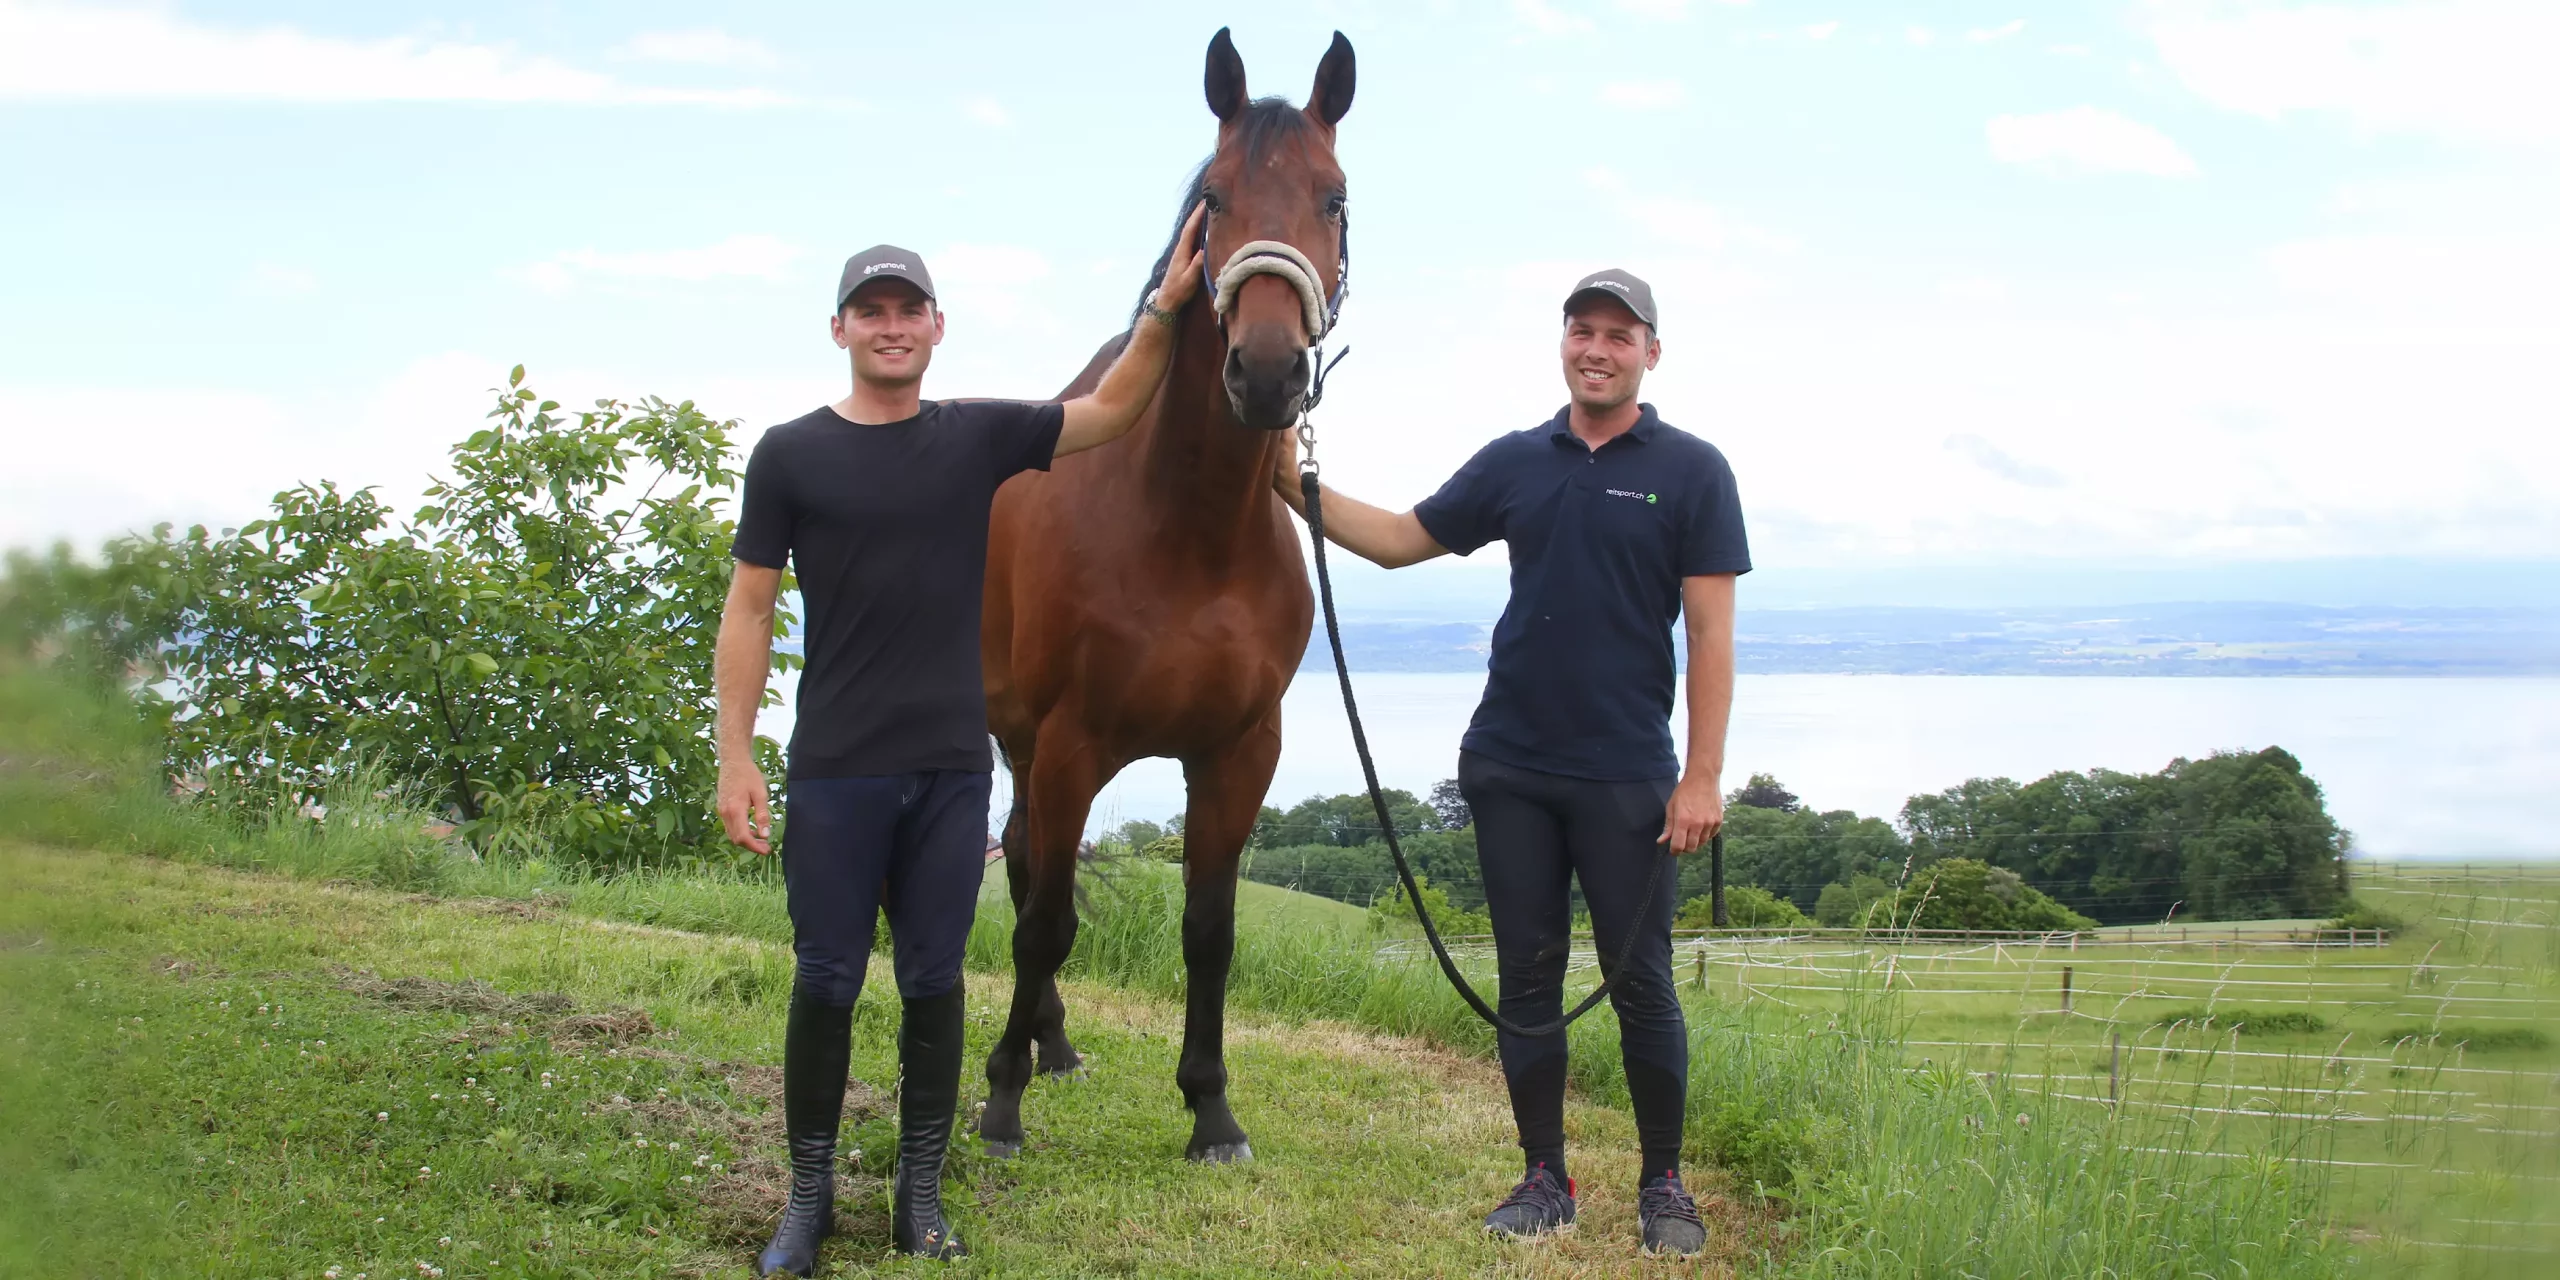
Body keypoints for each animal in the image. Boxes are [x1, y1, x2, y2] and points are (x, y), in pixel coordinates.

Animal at [967, 27, 1351, 1172]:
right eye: (1213, 200)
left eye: (1333, 197)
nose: (1266, 373)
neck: (1189, 533)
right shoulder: (1072, 742)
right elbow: (1046, 920)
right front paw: (999, 1103)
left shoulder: (1238, 752)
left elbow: (1209, 931)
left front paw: (1211, 1111)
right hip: (1016, 737)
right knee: (1027, 876)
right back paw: (1031, 1053)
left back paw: (1051, 1044)